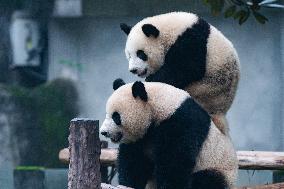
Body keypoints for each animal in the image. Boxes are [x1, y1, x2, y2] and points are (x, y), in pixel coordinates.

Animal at [100, 78, 237, 189]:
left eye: (116, 117)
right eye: (107, 114)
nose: (103, 132)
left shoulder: (181, 123)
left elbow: (175, 162)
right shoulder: (141, 138)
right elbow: (134, 162)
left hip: (219, 169)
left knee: (207, 180)